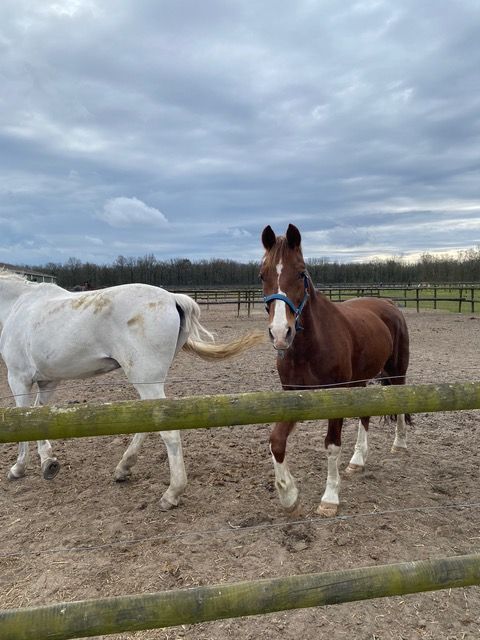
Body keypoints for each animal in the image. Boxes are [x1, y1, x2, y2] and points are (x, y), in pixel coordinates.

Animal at [0, 271, 264, 510]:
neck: (17, 304)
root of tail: (172, 298)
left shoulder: (18, 378)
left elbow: (22, 420)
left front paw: (18, 468)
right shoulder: (48, 382)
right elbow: (37, 418)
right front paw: (48, 462)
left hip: (146, 380)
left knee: (168, 432)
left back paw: (171, 494)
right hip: (146, 383)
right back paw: (123, 468)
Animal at [260, 224, 411, 517]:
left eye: (301, 272)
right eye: (262, 275)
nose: (281, 333)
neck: (310, 346)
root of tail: (389, 304)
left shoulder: (336, 396)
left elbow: (331, 445)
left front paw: (329, 498)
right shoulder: (293, 395)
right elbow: (276, 441)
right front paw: (289, 495)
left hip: (397, 373)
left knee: (400, 403)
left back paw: (399, 444)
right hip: (361, 382)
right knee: (365, 416)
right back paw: (357, 460)